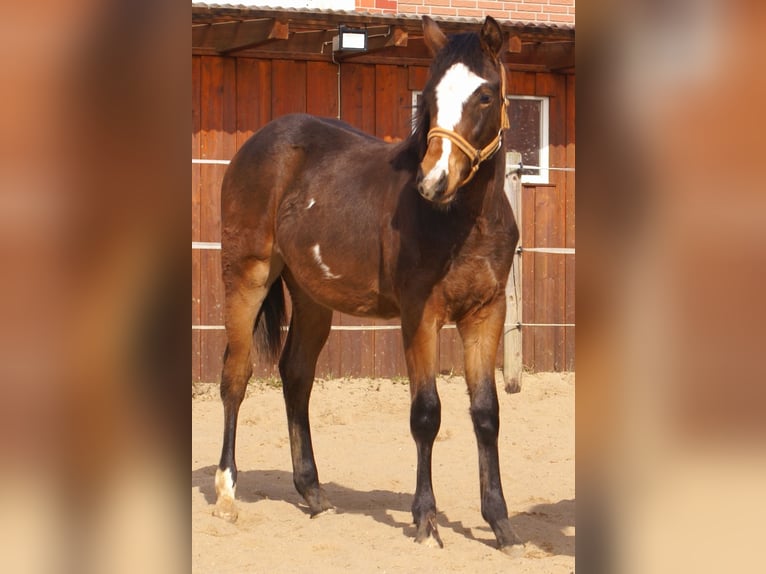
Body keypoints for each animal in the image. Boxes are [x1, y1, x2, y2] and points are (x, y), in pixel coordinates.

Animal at [213, 15, 522, 554]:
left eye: (485, 95)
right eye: (429, 96)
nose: (433, 181)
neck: (464, 220)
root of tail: (257, 143)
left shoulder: (485, 313)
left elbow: (486, 414)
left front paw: (500, 523)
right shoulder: (420, 316)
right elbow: (426, 414)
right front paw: (425, 521)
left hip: (312, 297)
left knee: (296, 376)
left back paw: (313, 492)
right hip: (247, 276)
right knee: (236, 375)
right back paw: (227, 494)